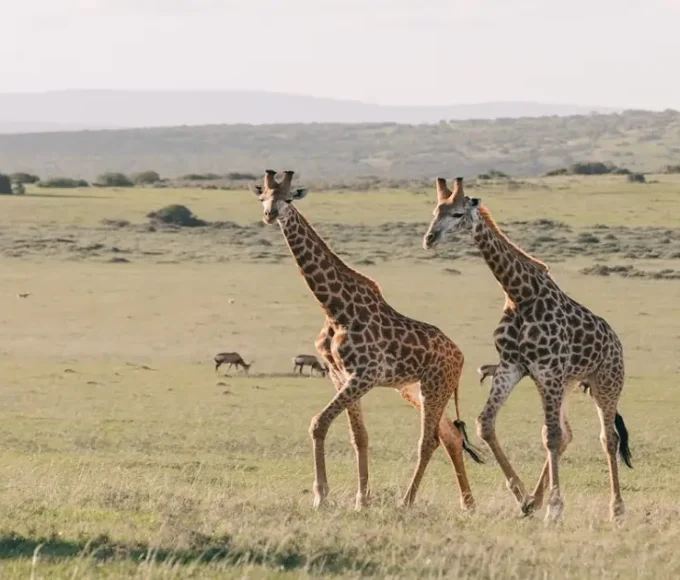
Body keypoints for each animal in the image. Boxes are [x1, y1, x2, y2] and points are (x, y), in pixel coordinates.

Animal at [249, 169, 483, 511]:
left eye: (289, 198)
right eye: (264, 197)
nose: (270, 214)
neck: (335, 309)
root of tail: (461, 356)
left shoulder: (365, 375)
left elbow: (318, 423)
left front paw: (321, 496)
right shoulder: (339, 375)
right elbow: (359, 436)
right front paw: (361, 499)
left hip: (435, 386)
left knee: (429, 440)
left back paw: (407, 501)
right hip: (416, 390)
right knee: (451, 436)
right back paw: (468, 504)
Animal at [422, 176, 632, 522]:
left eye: (457, 214)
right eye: (435, 211)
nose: (429, 239)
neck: (520, 294)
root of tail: (616, 343)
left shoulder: (548, 371)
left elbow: (551, 436)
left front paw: (555, 508)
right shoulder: (513, 366)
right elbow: (486, 423)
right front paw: (522, 496)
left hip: (606, 382)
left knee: (607, 438)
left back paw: (616, 508)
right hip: (567, 384)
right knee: (568, 433)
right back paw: (536, 498)